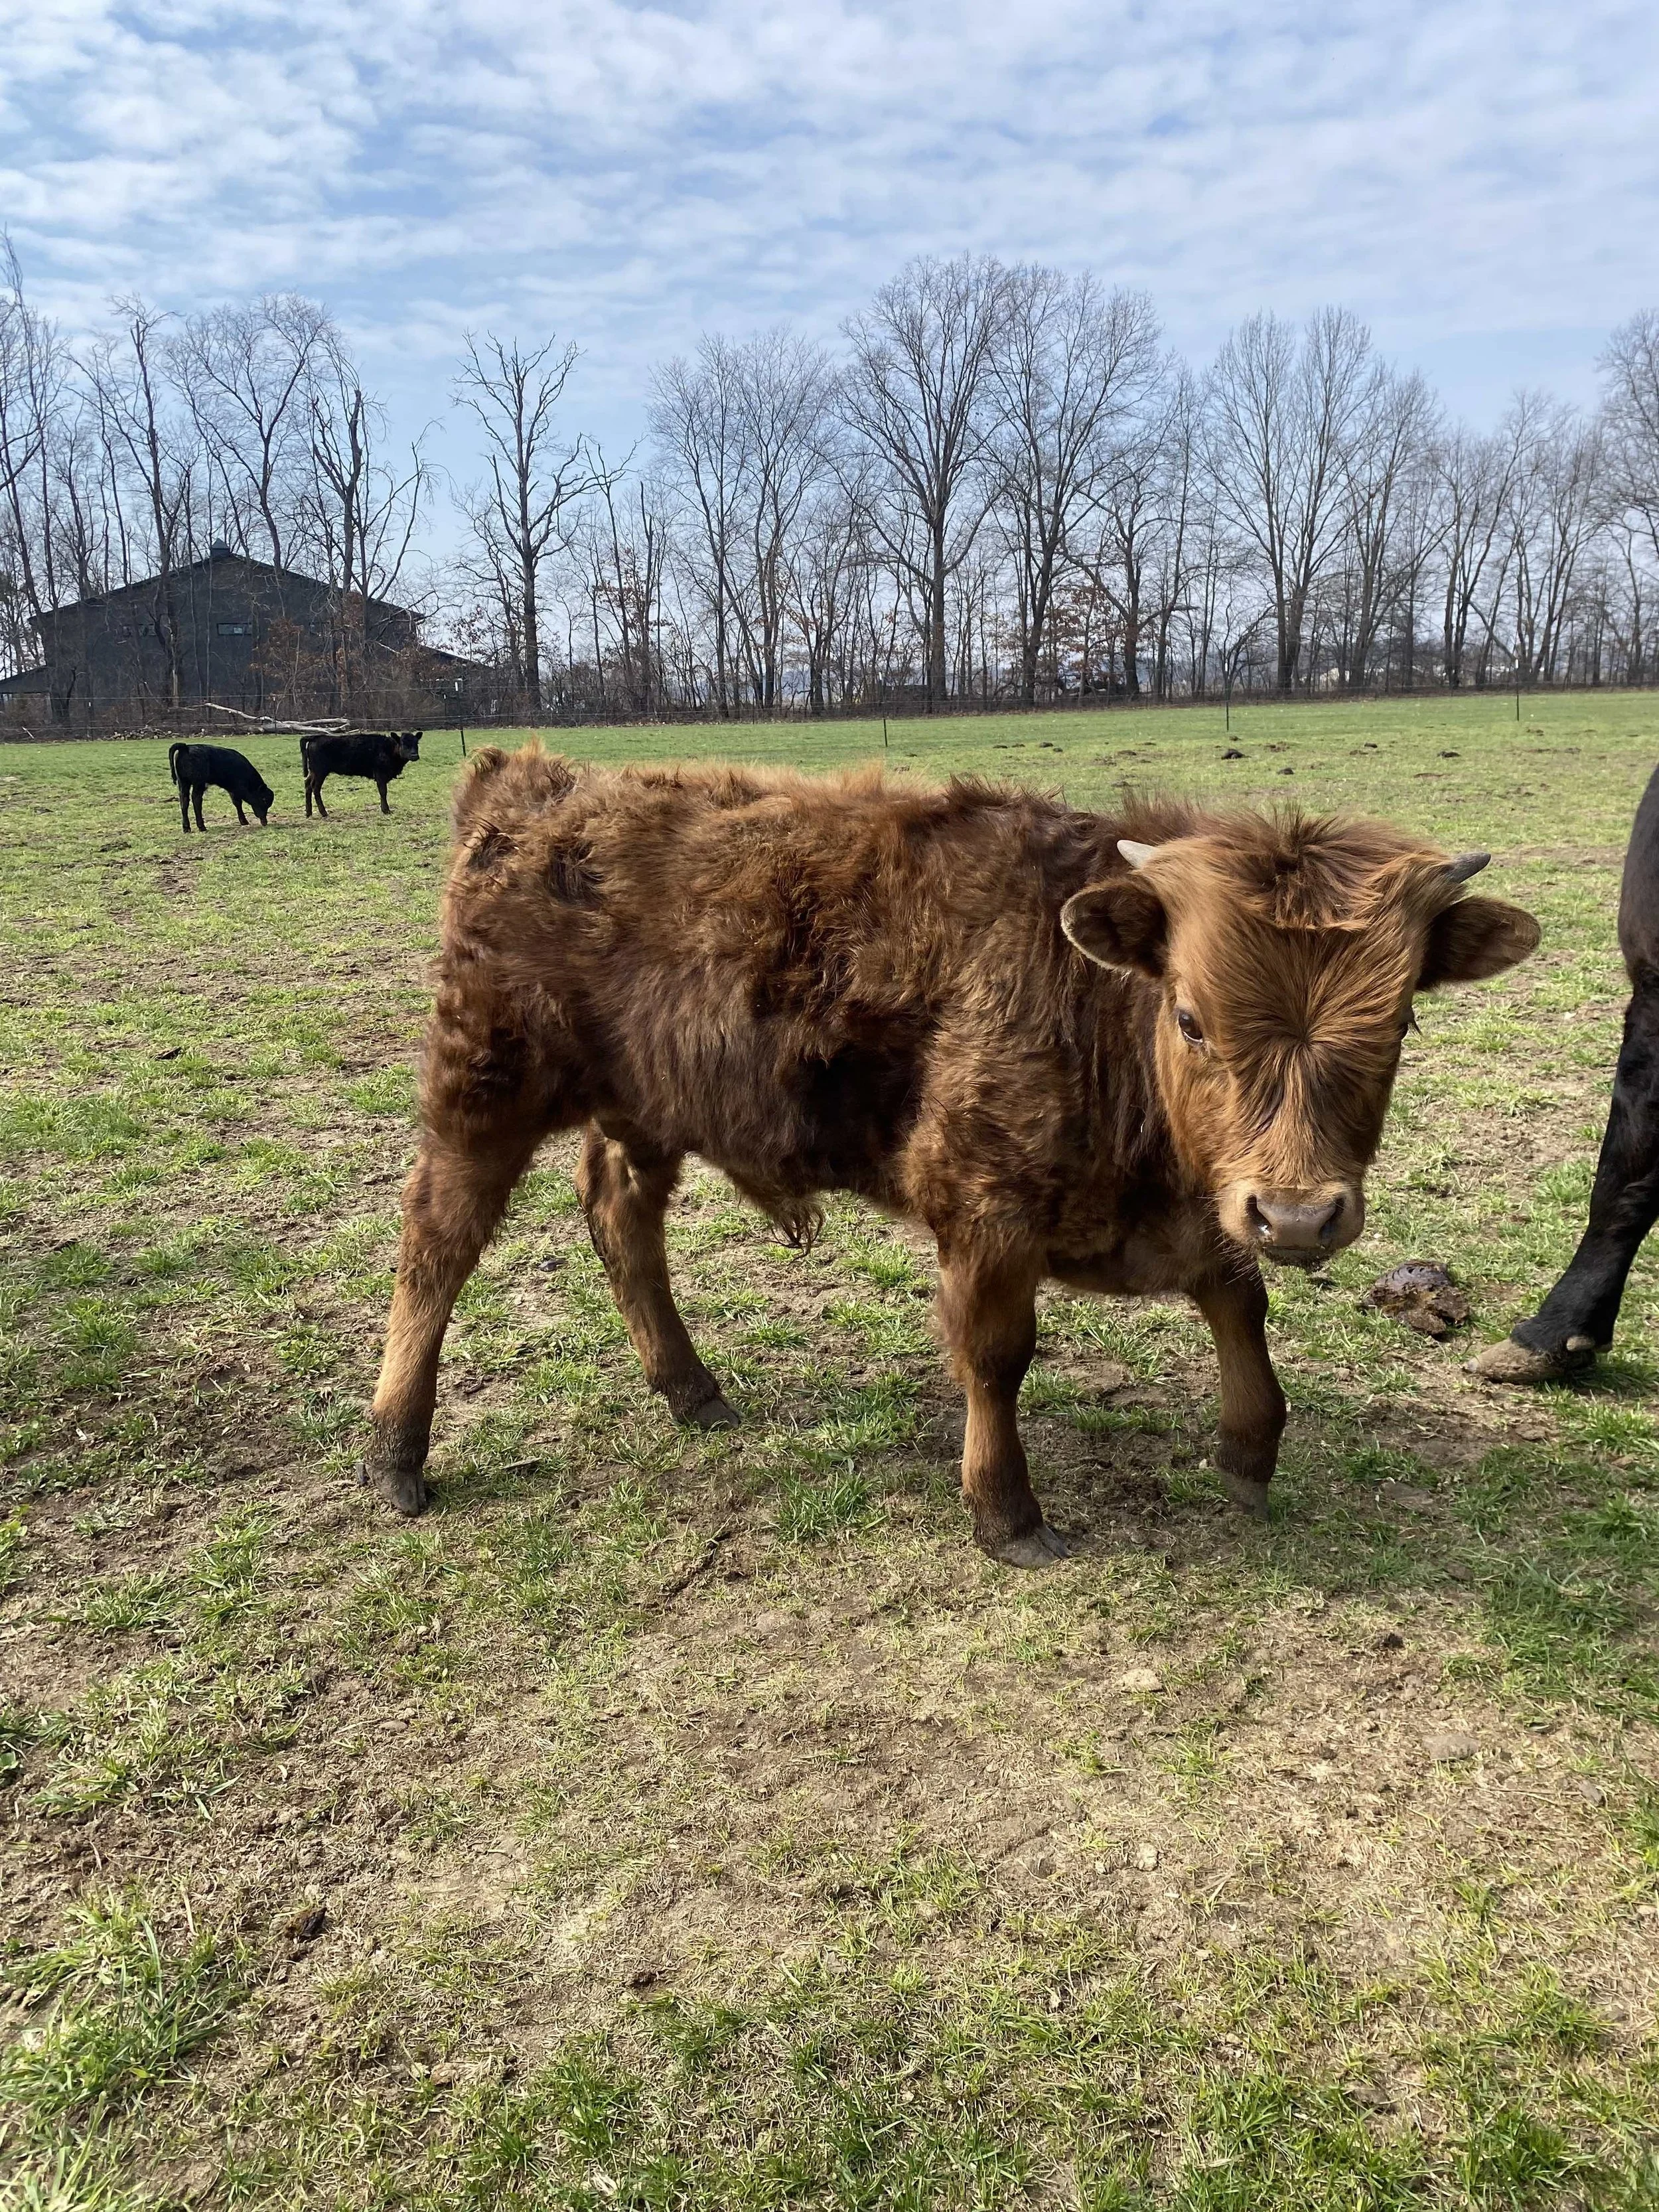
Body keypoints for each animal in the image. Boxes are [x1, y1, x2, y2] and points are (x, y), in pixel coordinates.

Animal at [168, 742, 274, 832]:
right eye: (264, 799)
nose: (264, 822)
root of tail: (186, 747)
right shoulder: (237, 788)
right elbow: (238, 802)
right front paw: (244, 821)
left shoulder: (232, 789)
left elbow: (237, 803)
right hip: (199, 783)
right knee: (196, 800)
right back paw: (202, 827)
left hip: (183, 783)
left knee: (184, 801)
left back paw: (186, 828)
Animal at [301, 730, 421, 818]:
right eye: (404, 744)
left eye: (416, 743)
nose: (414, 755)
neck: (389, 749)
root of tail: (316, 737)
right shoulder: (380, 775)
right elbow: (383, 792)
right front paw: (386, 810)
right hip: (320, 772)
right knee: (315, 788)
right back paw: (324, 813)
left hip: (313, 771)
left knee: (307, 785)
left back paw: (309, 813)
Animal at [361, 747, 1540, 1564]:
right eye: (1193, 1018)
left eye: (1399, 1023)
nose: (1300, 1216)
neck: (1093, 1001)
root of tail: (531, 787)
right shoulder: (985, 1209)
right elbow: (997, 1355)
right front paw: (1006, 1512)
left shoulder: (1204, 1204)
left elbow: (1237, 1303)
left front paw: (1250, 1453)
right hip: (483, 1091)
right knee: (437, 1246)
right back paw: (395, 1452)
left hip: (643, 1104)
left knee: (620, 1216)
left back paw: (691, 1388)